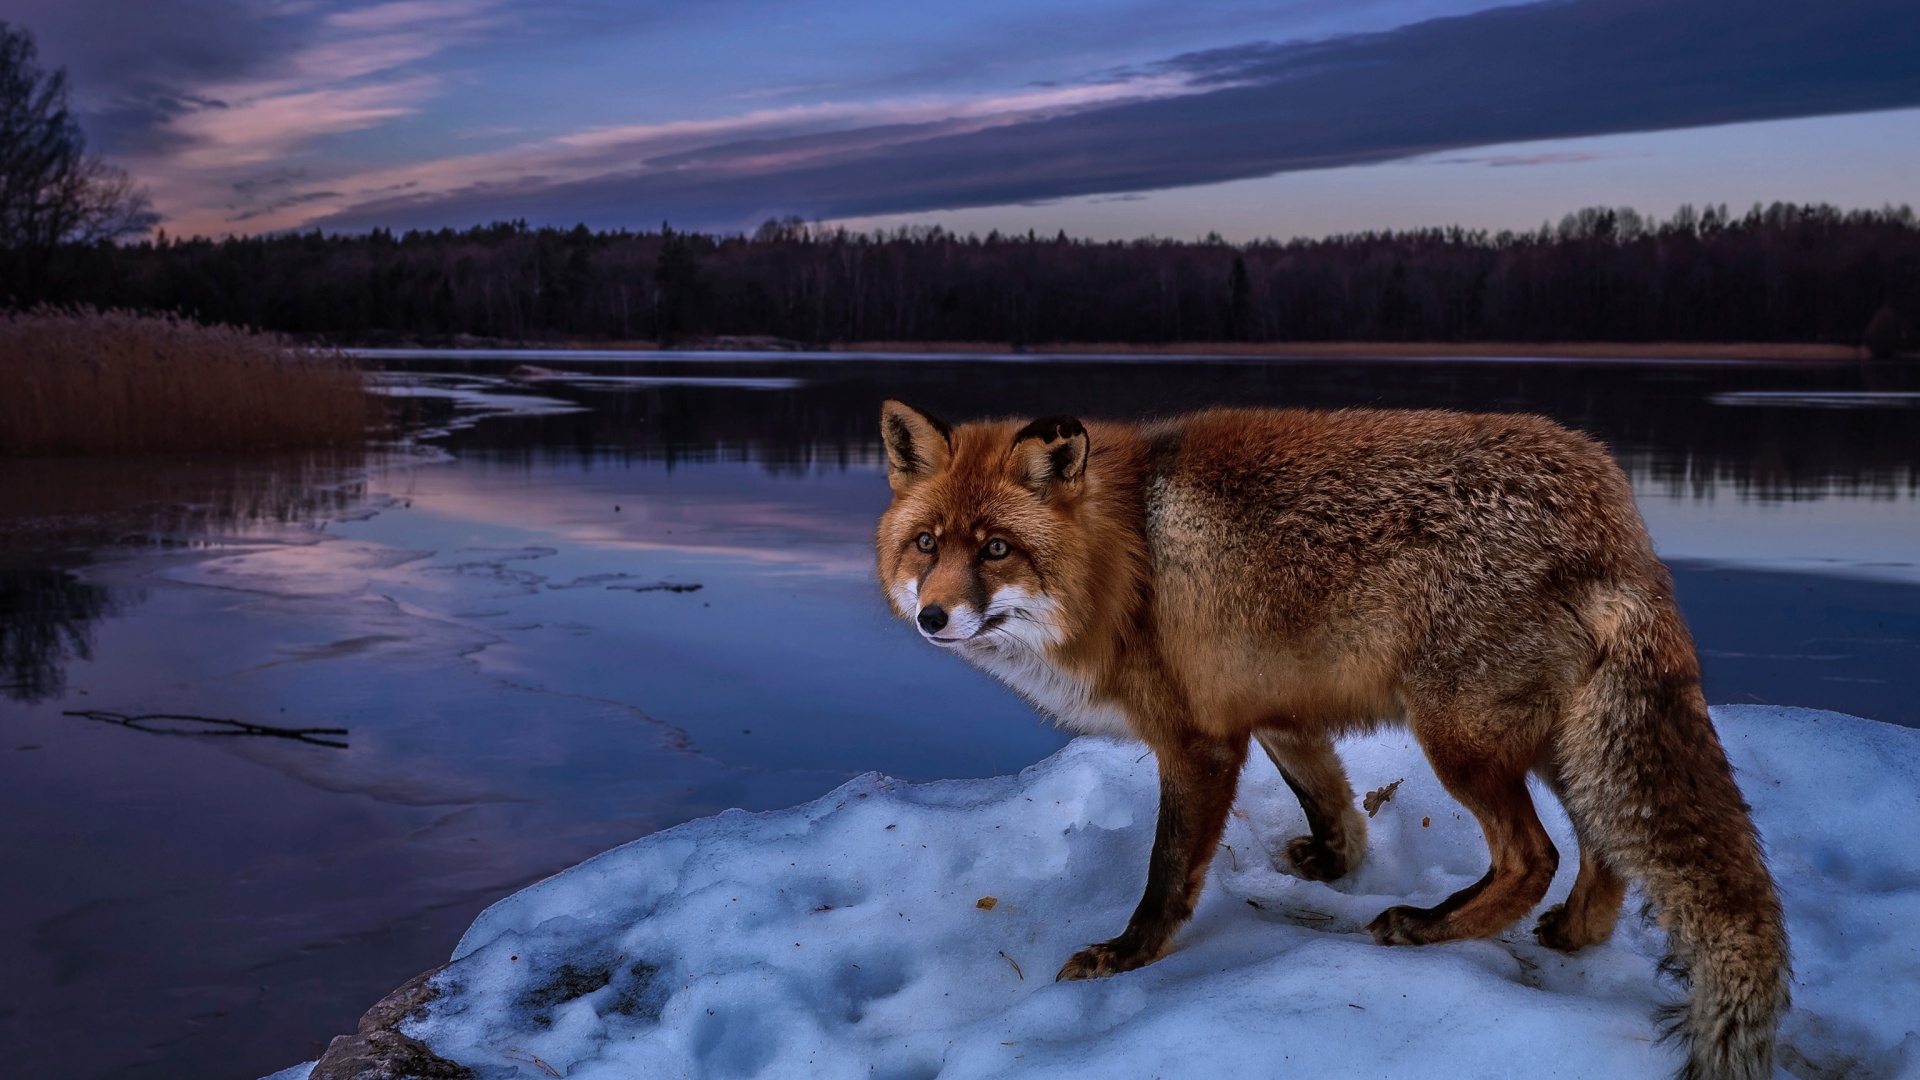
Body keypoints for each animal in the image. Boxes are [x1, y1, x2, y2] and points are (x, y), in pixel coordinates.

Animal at [879, 399, 1789, 1076]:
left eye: (998, 549)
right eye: (926, 544)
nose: (932, 618)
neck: (1126, 558)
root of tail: (1612, 508)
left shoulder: (1198, 741)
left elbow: (1167, 872)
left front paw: (1128, 956)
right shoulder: (1277, 712)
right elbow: (1333, 802)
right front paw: (1333, 864)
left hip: (1461, 742)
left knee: (1536, 857)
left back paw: (1429, 928)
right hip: (1557, 741)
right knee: (1605, 852)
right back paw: (1570, 934)